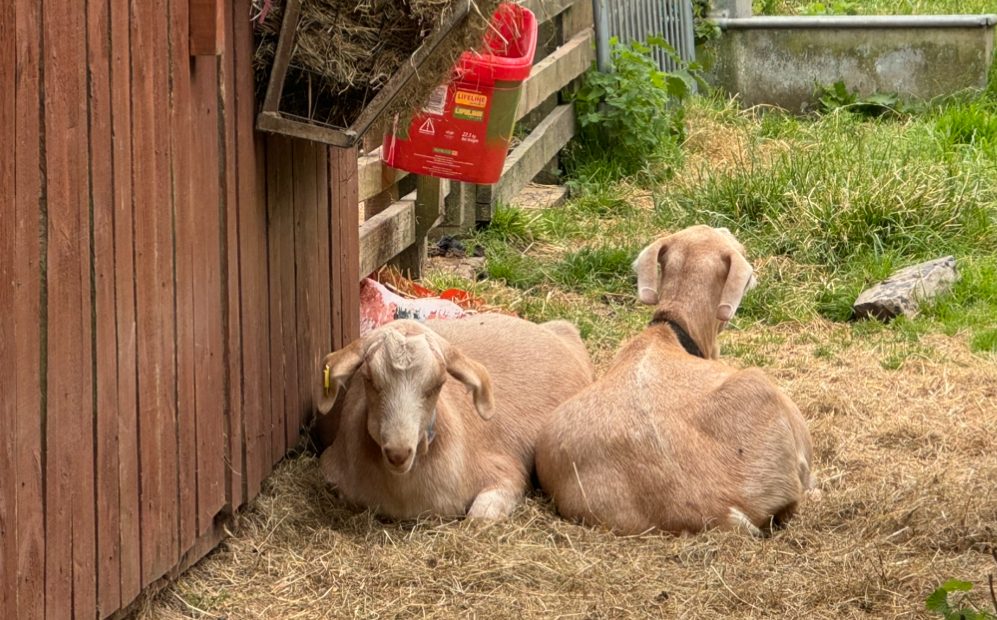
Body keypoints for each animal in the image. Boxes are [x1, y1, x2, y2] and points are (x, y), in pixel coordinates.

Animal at [316, 312, 592, 520]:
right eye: (369, 379)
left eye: (438, 384)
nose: (398, 453)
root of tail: (559, 330)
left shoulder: (508, 472)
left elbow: (478, 518)